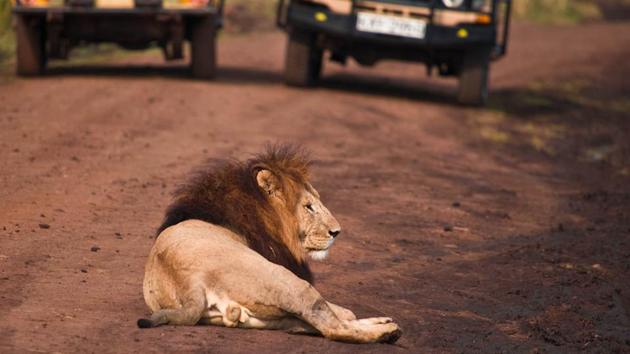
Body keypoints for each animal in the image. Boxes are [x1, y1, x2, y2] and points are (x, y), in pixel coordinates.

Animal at [137, 145, 404, 342]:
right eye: (309, 206)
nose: (336, 232)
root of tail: (191, 284)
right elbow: (343, 311)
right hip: (285, 282)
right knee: (332, 326)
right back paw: (387, 333)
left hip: (261, 315)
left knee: (307, 322)